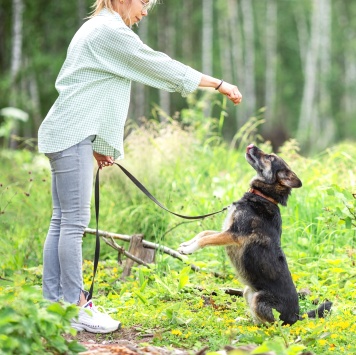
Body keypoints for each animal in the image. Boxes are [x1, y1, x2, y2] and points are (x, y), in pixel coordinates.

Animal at [179, 144, 332, 326]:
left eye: (270, 157)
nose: (251, 145)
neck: (263, 196)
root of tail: (296, 317)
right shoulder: (227, 230)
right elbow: (204, 233)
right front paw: (187, 244)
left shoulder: (233, 235)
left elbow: (206, 238)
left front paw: (189, 249)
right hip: (247, 291)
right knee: (258, 321)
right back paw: (242, 320)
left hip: (259, 299)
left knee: (271, 325)